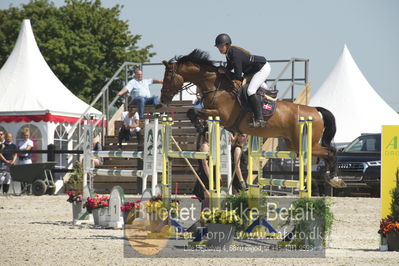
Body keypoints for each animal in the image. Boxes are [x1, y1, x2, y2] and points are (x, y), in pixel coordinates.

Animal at [160, 48, 346, 188]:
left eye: (168, 77)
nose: (162, 99)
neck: (217, 87)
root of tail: (315, 110)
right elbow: (192, 112)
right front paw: (201, 127)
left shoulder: (221, 115)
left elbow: (193, 112)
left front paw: (200, 127)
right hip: (294, 144)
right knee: (326, 152)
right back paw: (330, 177)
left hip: (304, 143)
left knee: (330, 151)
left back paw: (335, 178)